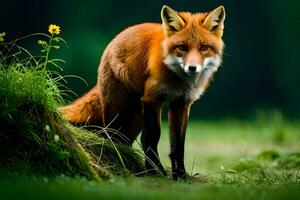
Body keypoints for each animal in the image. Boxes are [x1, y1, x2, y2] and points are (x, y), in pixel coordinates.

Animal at [61, 5, 225, 180]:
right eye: (182, 47)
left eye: (203, 47)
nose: (192, 68)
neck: (179, 80)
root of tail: (115, 39)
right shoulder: (151, 98)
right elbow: (152, 137)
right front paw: (154, 171)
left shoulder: (182, 103)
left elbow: (178, 145)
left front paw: (180, 175)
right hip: (120, 109)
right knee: (109, 133)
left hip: (136, 116)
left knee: (125, 139)